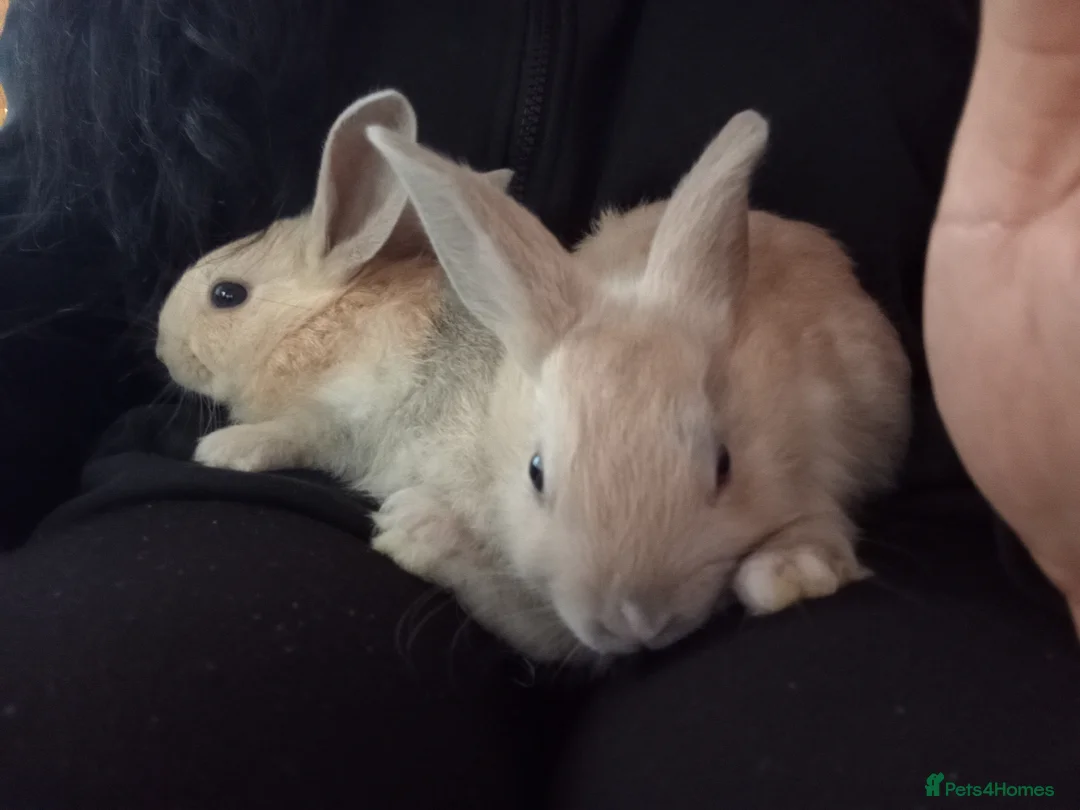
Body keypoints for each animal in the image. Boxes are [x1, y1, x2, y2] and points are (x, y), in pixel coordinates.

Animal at [155, 89, 513, 488]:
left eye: (226, 294)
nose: (162, 353)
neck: (310, 326)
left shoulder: (342, 414)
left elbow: (290, 435)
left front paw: (220, 448)